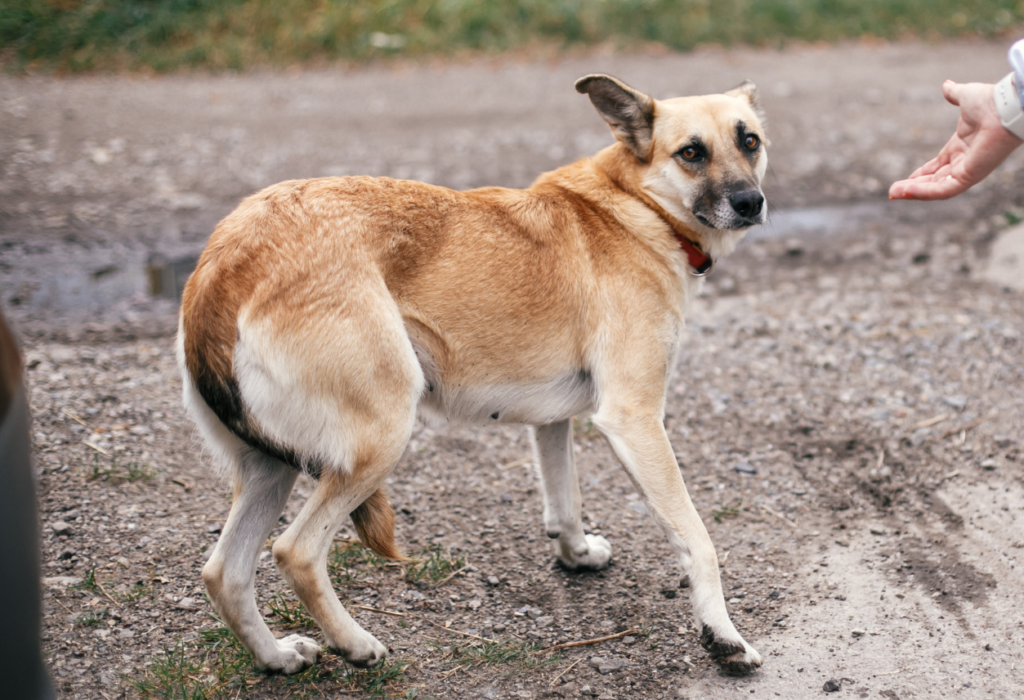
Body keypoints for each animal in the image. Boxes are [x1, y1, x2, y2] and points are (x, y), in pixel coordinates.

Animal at [178, 75, 770, 679]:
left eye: (749, 141)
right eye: (691, 152)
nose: (751, 203)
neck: (635, 206)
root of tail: (225, 263)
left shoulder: (554, 422)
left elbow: (565, 499)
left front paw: (576, 554)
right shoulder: (635, 419)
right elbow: (698, 540)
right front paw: (724, 637)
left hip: (270, 468)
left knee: (224, 573)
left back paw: (275, 656)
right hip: (380, 438)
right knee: (295, 552)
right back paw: (357, 645)